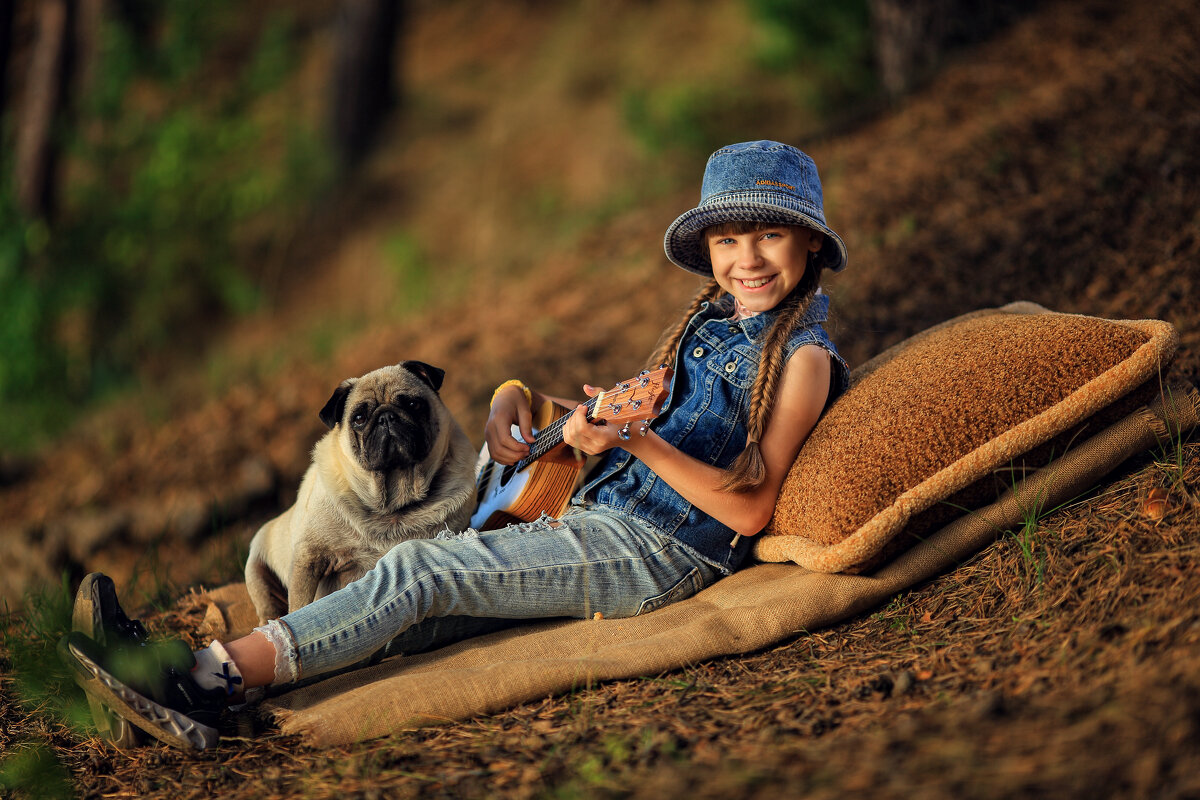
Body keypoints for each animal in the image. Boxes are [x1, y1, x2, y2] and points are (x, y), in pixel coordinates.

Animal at [244, 357, 477, 623]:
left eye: (412, 404)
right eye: (359, 418)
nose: (386, 417)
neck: (394, 503)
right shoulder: (309, 558)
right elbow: (300, 605)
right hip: (256, 568)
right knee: (268, 606)